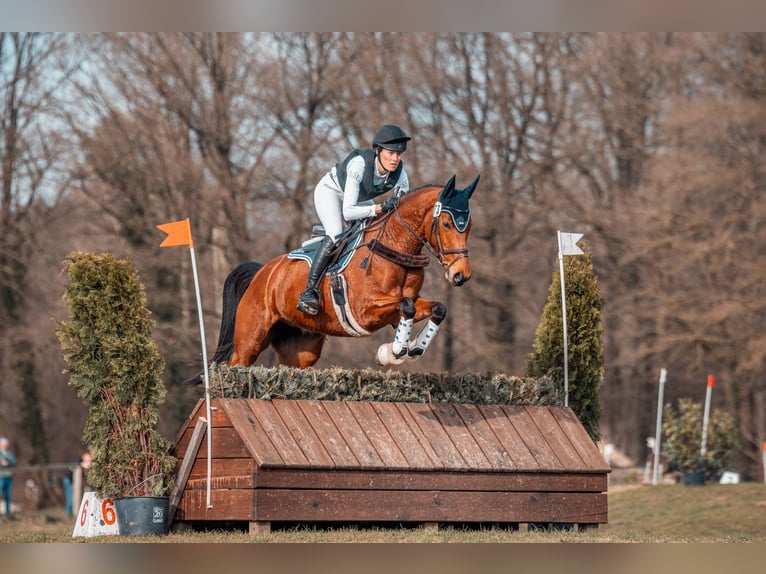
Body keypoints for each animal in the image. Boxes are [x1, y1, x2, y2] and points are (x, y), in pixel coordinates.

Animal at [204, 176, 480, 374]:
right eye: (446, 224)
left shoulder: (398, 309)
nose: (460, 275)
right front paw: (394, 351)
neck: (393, 247)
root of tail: (262, 274)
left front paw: (411, 348)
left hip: (301, 350)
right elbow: (407, 306)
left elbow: (435, 308)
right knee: (238, 363)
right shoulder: (365, 311)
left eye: (469, 226)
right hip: (250, 341)